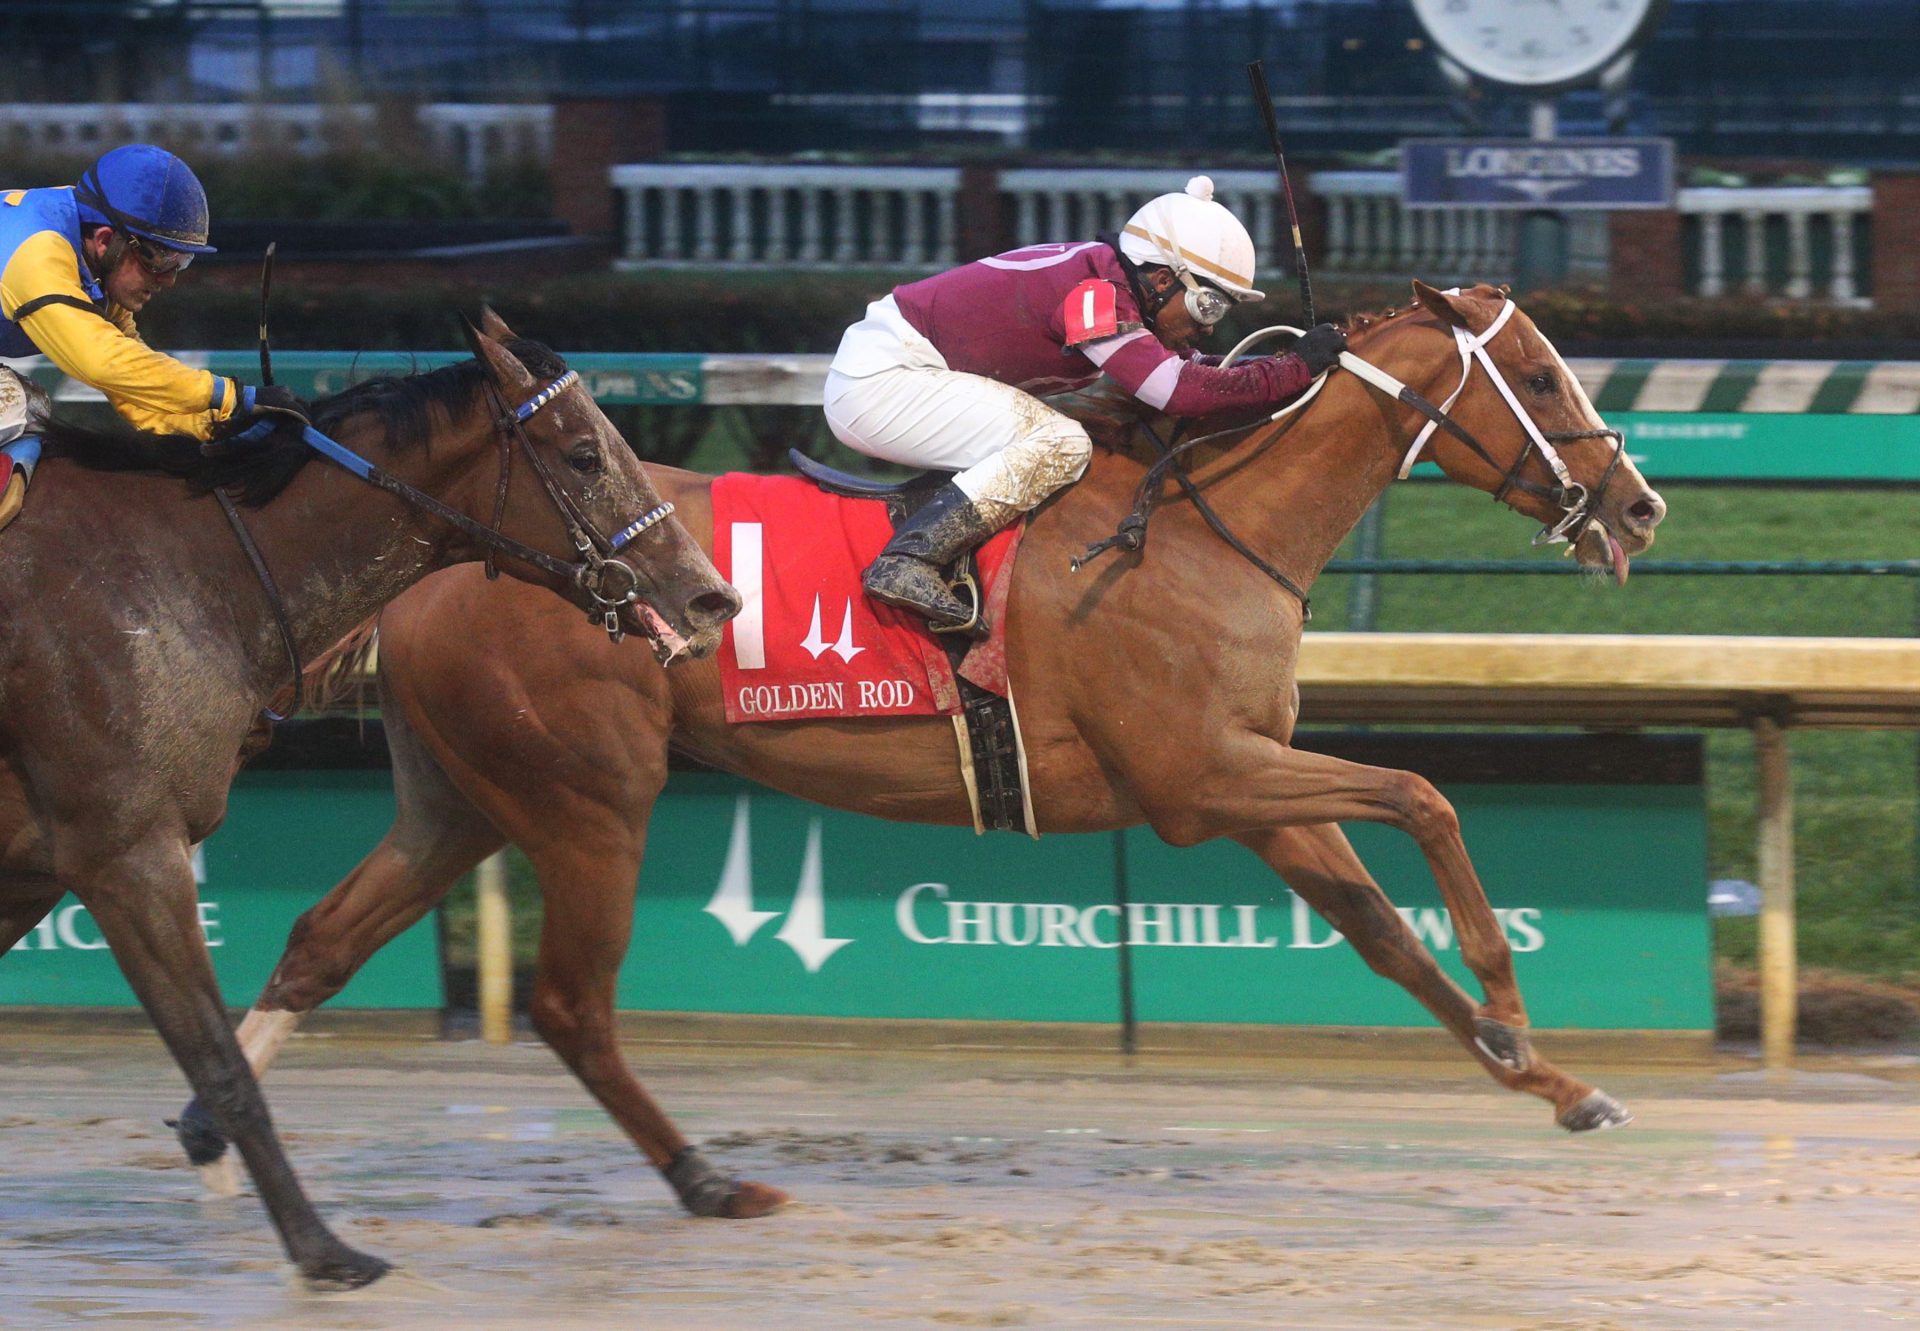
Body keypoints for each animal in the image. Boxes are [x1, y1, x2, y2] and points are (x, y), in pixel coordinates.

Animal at [0, 316, 741, 1282]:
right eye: (583, 453)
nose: (710, 596)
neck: (181, 573)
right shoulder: (127, 851)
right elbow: (220, 1066)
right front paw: (326, 1251)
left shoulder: (38, 868)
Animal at [180, 286, 1666, 1221]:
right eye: (1542, 376)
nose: (1640, 504)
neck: (1203, 532)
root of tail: (438, 565)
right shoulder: (1201, 779)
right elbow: (1425, 794)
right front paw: (1515, 1002)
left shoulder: (1249, 783)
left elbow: (1384, 933)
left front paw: (1551, 1078)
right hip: (588, 798)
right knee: (569, 1006)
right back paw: (707, 1179)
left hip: (462, 796)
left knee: (320, 938)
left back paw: (215, 1146)